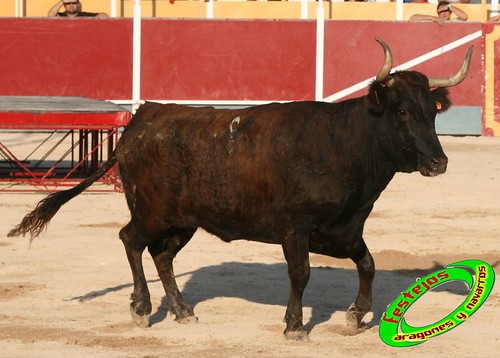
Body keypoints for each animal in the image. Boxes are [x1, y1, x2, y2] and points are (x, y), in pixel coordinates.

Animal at [9, 39, 474, 342]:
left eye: (432, 112)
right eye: (401, 111)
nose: (439, 162)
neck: (345, 144)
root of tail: (143, 119)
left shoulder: (345, 230)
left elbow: (369, 264)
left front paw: (356, 315)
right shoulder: (296, 229)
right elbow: (301, 273)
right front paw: (294, 327)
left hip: (184, 221)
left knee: (161, 255)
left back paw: (182, 312)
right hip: (151, 212)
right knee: (131, 240)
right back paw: (141, 309)